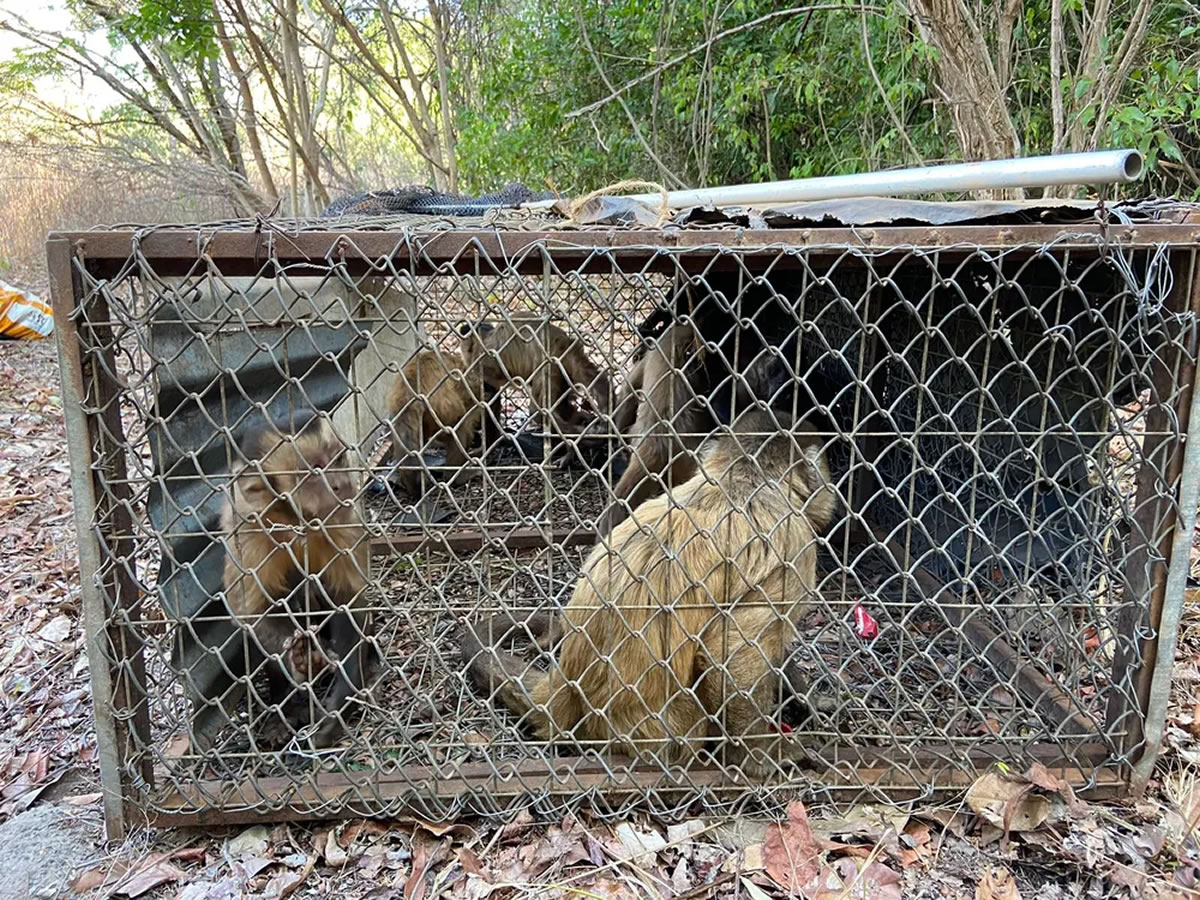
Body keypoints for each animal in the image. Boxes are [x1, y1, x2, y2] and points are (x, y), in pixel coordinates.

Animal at [222, 409, 378, 748]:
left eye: (338, 460)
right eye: (314, 471)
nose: (342, 483)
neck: (296, 522)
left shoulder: (341, 520)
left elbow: (350, 602)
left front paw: (339, 705)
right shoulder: (248, 530)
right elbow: (251, 613)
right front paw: (300, 659)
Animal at [463, 405, 840, 775]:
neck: (741, 477)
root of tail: (566, 692)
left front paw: (807, 700)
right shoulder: (795, 545)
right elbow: (734, 648)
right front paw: (757, 755)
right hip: (671, 729)